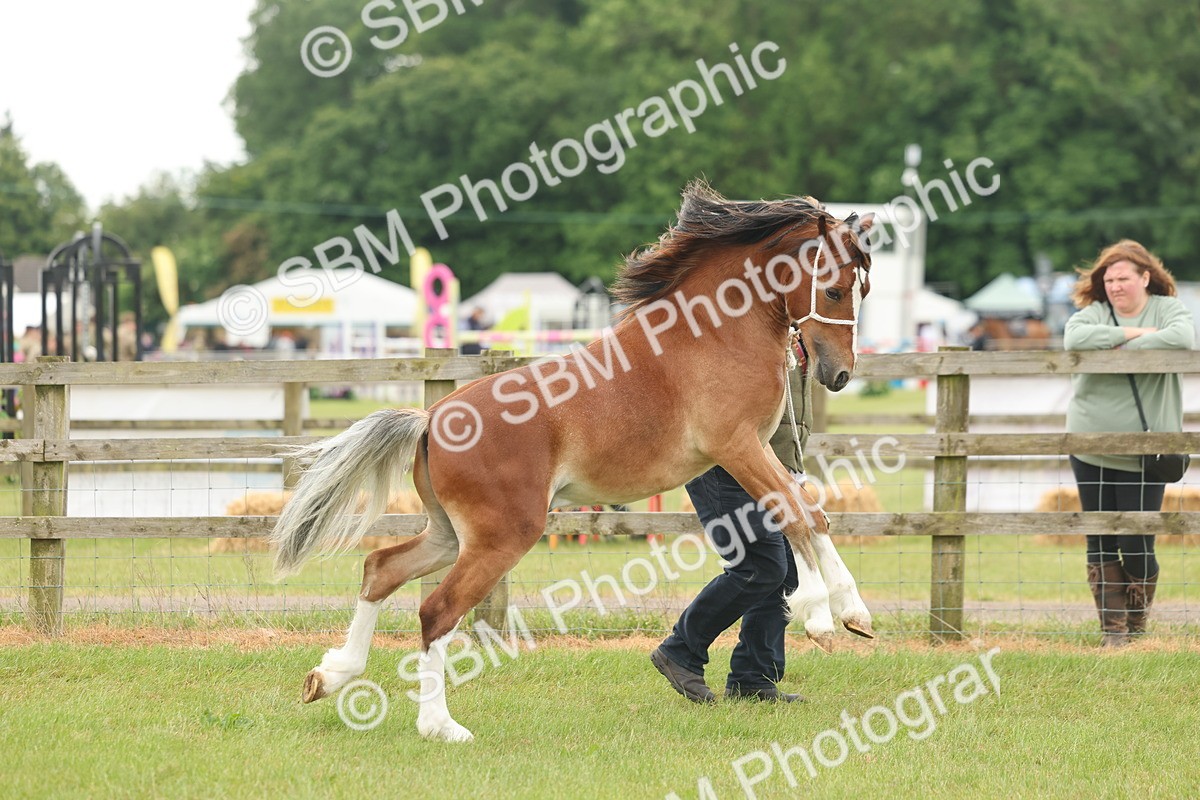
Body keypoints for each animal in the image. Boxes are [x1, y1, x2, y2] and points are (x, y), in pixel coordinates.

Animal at [270, 180, 876, 742]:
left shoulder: (752, 451)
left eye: (863, 288)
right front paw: (828, 617)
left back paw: (332, 676)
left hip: (451, 533)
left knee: (381, 569)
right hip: (502, 536)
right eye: (834, 288)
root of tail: (432, 418)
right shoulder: (737, 446)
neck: (712, 335)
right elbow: (801, 513)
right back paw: (441, 726)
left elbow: (807, 515)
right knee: (436, 610)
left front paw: (844, 613)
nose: (839, 373)